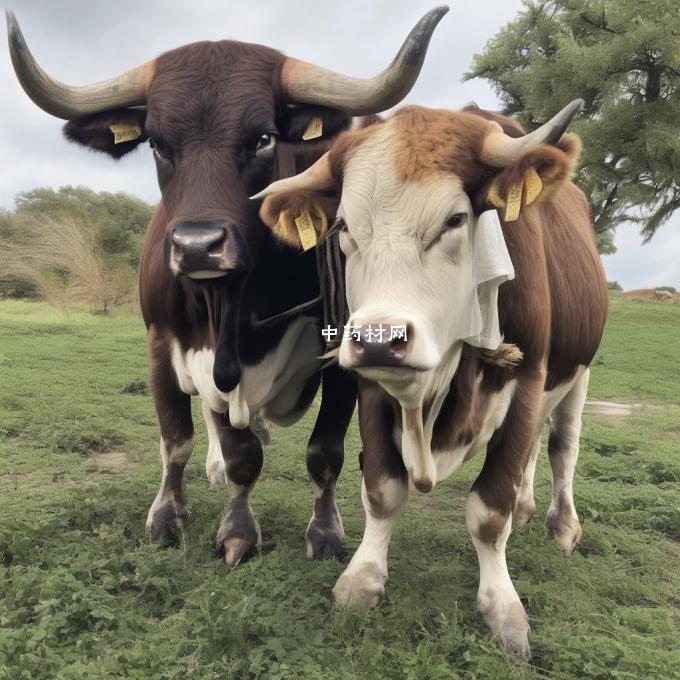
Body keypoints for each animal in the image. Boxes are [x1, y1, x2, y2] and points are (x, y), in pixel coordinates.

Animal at [6, 6, 452, 564]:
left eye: (263, 137)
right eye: (156, 142)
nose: (198, 246)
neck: (239, 306)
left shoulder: (344, 356)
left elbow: (324, 451)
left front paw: (324, 531)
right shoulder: (166, 345)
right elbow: (192, 441)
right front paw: (188, 518)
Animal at [255, 102, 612, 660]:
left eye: (455, 219)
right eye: (345, 226)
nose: (380, 339)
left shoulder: (528, 378)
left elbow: (490, 507)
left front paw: (503, 609)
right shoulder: (371, 387)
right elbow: (382, 489)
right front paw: (362, 579)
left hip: (578, 374)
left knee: (562, 446)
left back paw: (562, 525)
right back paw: (528, 509)